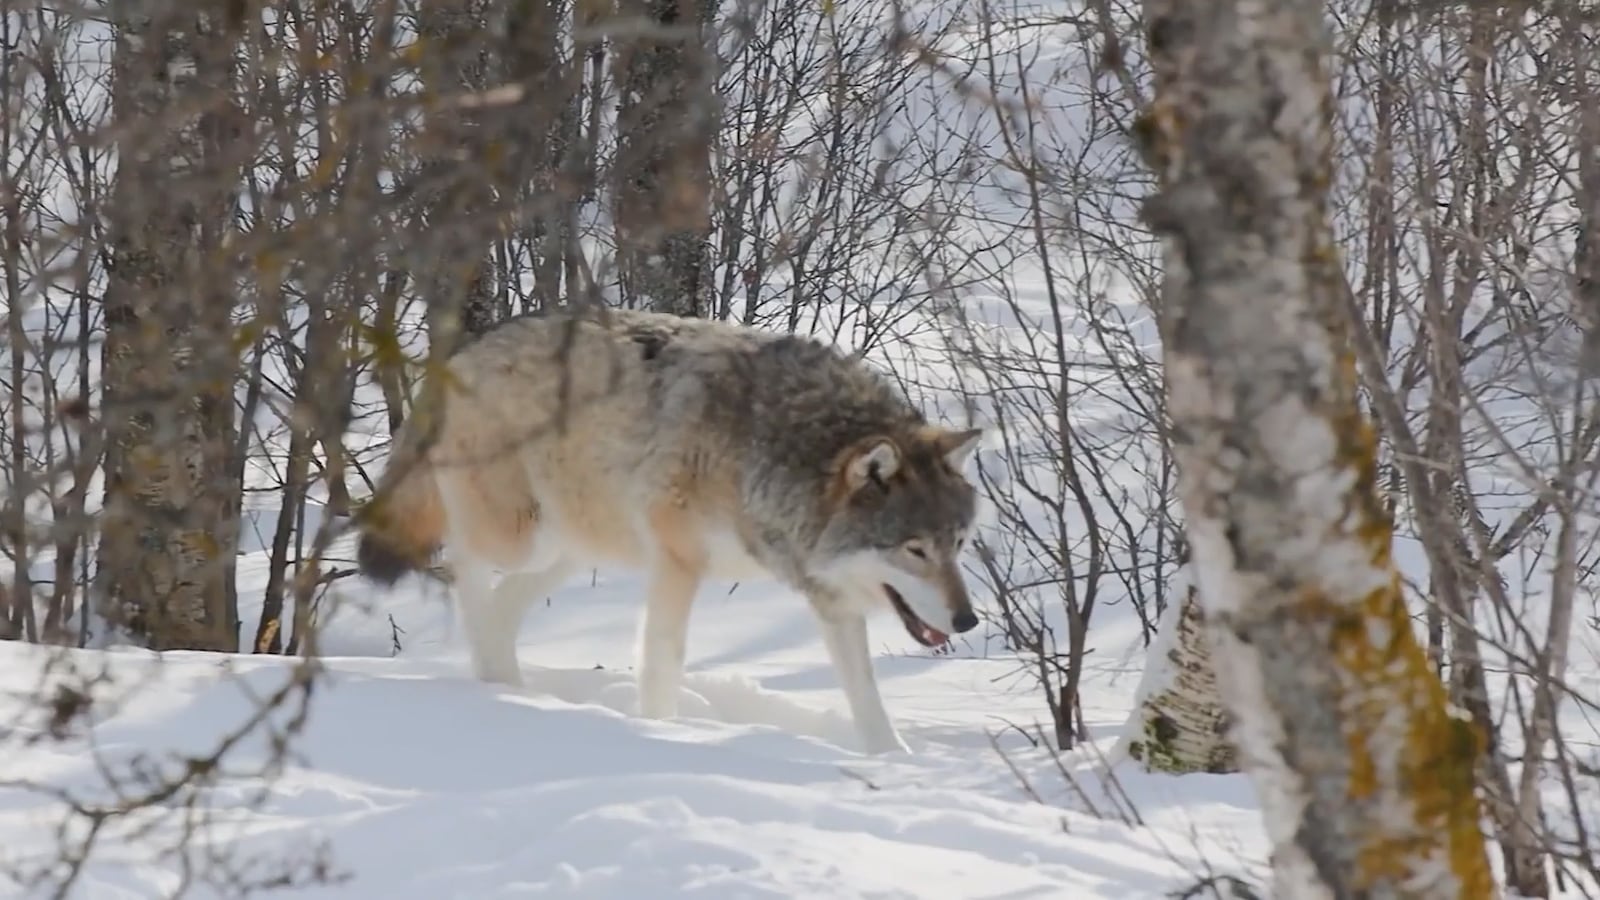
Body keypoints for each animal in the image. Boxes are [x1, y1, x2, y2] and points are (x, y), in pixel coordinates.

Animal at [354, 307, 984, 754]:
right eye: (914, 549)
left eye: (956, 545)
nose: (968, 621)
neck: (766, 451)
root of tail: (464, 351)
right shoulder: (679, 563)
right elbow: (663, 663)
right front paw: (662, 734)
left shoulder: (828, 597)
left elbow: (868, 699)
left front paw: (894, 762)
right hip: (520, 538)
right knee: (460, 564)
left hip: (571, 549)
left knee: (500, 609)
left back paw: (504, 685)